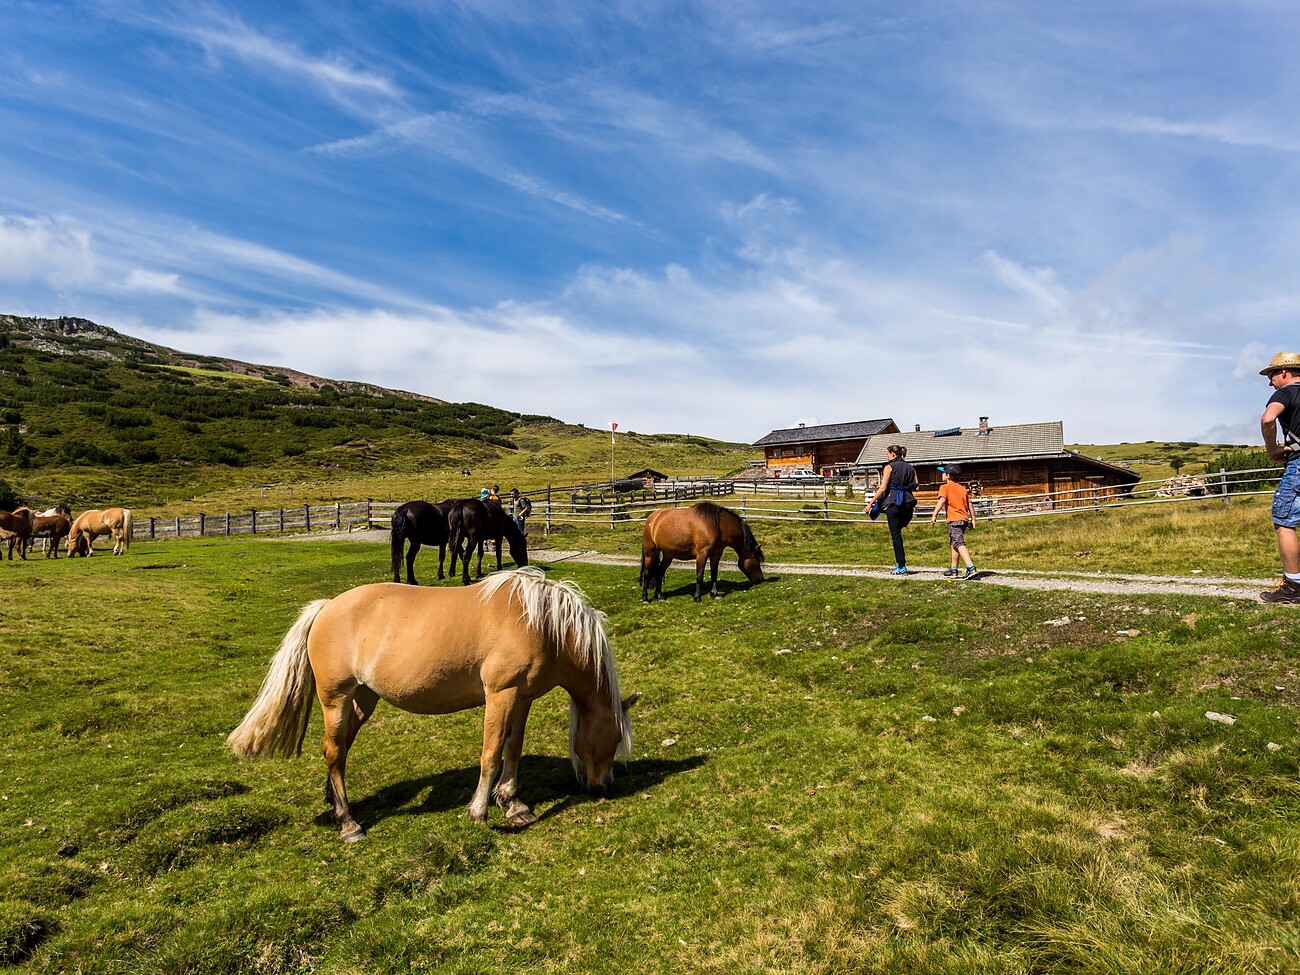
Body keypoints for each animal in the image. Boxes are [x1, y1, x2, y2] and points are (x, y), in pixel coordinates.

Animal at [228, 567, 637, 840]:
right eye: (615, 739)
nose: (604, 788)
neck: (541, 623)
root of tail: (326, 608)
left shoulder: (522, 698)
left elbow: (513, 749)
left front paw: (514, 804)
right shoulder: (500, 695)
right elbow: (491, 753)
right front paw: (478, 812)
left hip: (363, 700)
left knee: (340, 748)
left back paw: (334, 802)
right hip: (336, 699)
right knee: (333, 750)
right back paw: (348, 822)